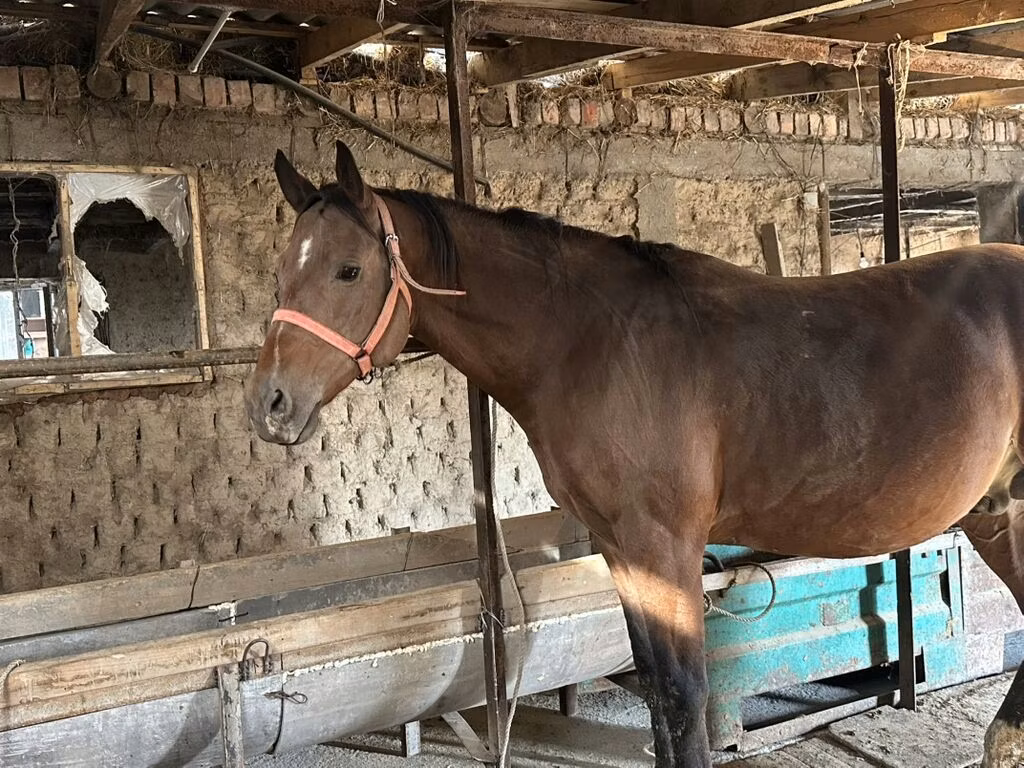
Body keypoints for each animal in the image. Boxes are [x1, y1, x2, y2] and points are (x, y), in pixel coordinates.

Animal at [245, 140, 1024, 768]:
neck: (592, 342)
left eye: (348, 271)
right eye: (281, 269)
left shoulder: (664, 546)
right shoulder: (622, 548)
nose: (269, 405)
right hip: (997, 512)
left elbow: (682, 692)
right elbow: (654, 688)